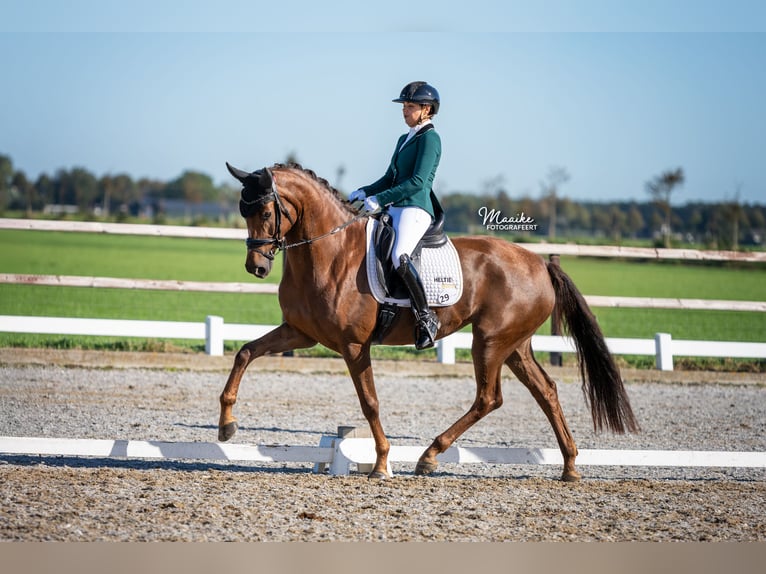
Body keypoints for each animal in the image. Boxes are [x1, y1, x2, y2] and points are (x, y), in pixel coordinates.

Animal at [219, 162, 640, 482]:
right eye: (243, 212)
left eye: (267, 213)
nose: (256, 268)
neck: (331, 252)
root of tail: (540, 263)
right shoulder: (301, 333)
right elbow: (245, 353)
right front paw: (226, 424)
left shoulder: (354, 345)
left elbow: (370, 403)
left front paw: (381, 463)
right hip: (515, 345)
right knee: (546, 391)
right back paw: (569, 466)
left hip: (490, 341)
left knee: (489, 398)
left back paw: (429, 455)